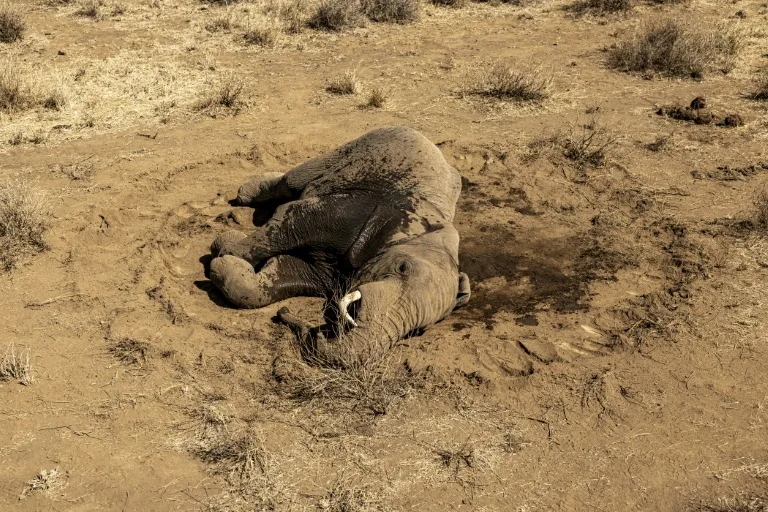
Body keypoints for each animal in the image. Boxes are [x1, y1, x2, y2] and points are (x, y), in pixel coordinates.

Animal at [208, 126, 470, 366]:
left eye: (419, 331)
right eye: (402, 268)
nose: (283, 313)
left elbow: (285, 273)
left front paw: (228, 264)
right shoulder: (361, 210)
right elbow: (290, 218)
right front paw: (223, 247)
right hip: (353, 149)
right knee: (290, 182)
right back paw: (245, 193)